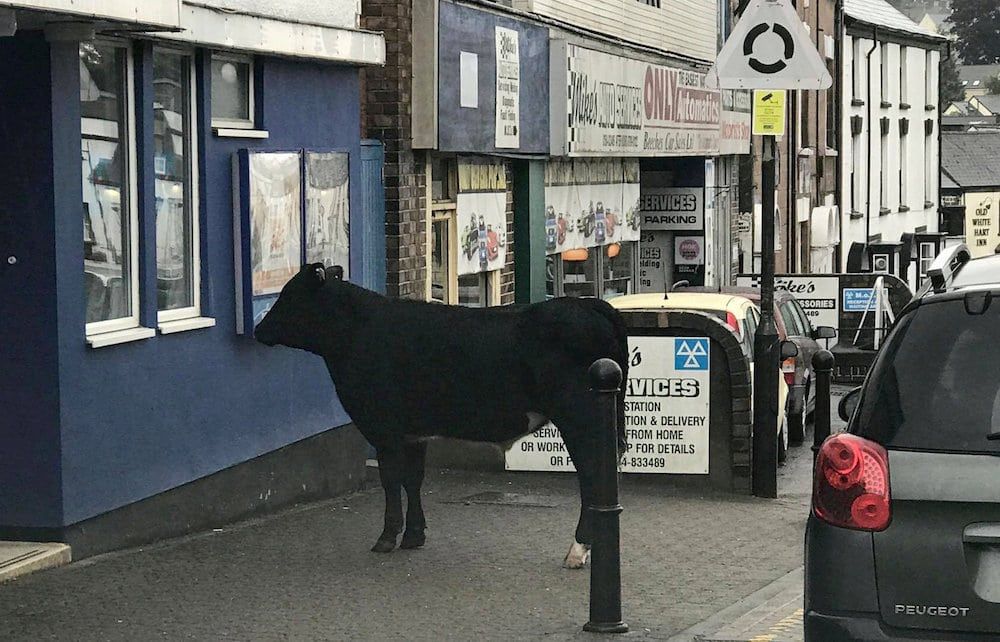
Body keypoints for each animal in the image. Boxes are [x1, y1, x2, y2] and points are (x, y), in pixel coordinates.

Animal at [254, 264, 628, 564]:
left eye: (289, 295)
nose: (258, 330)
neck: (357, 333)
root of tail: (587, 303)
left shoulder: (383, 428)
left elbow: (391, 479)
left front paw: (387, 537)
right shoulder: (413, 432)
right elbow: (413, 478)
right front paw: (414, 534)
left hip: (580, 419)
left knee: (592, 475)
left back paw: (579, 549)